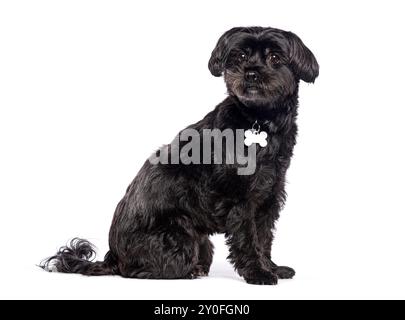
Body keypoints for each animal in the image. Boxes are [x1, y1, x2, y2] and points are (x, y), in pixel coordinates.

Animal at [41, 26, 318, 284]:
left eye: (275, 57)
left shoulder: (269, 196)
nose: (250, 72)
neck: (259, 121)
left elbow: (264, 238)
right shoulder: (240, 201)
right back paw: (188, 272)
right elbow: (248, 240)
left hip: (200, 241)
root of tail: (113, 255)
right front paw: (258, 273)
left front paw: (272, 267)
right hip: (178, 238)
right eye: (239, 56)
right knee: (138, 271)